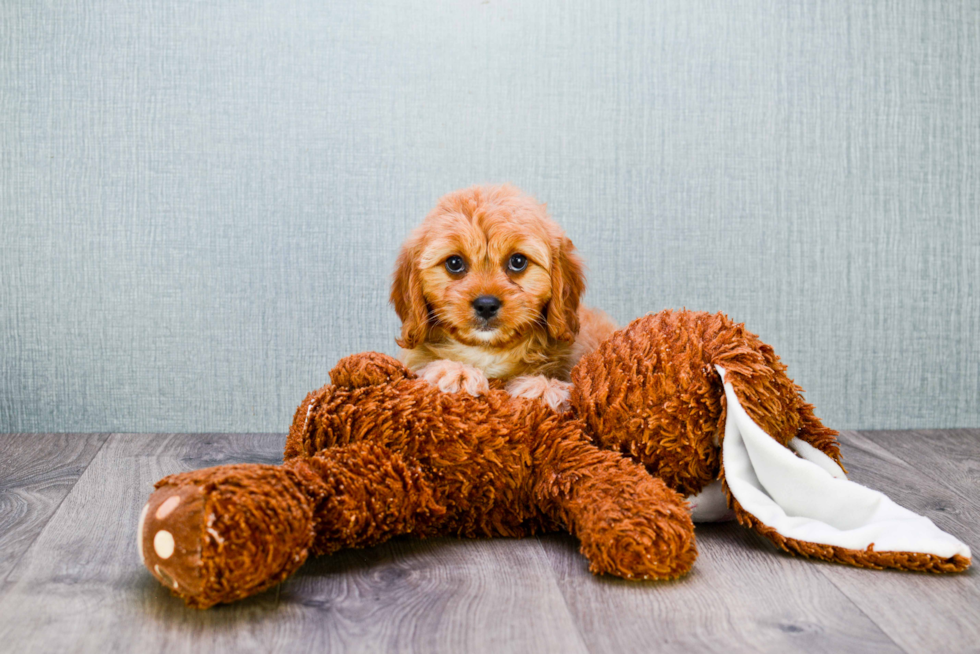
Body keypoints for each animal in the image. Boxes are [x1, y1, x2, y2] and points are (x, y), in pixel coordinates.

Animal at [388, 184, 612, 410]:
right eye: (454, 263)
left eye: (518, 261)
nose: (486, 305)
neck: (488, 352)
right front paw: (455, 371)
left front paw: (544, 387)